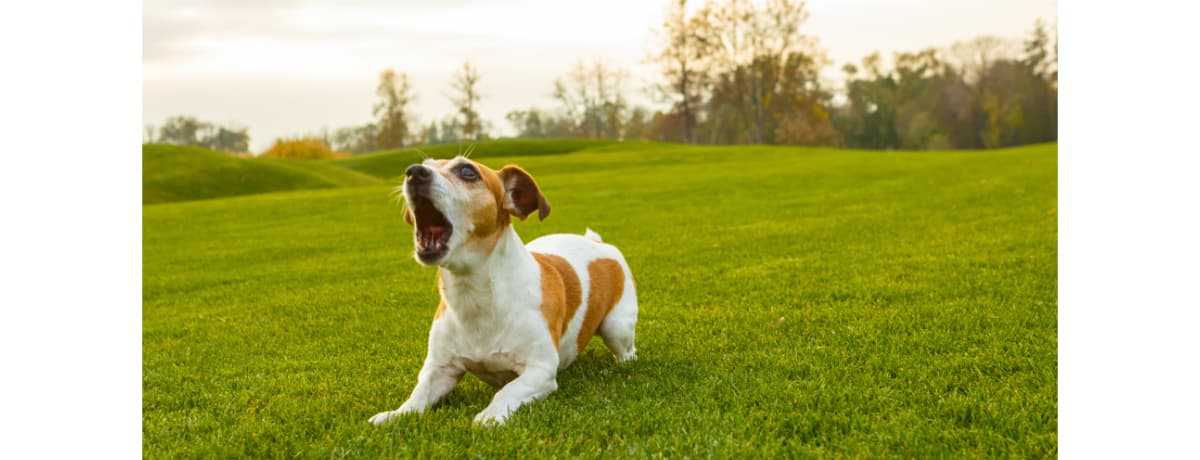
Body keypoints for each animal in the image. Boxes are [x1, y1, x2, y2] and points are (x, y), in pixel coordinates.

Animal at [367, 156, 638, 427]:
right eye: (425, 163)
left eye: (468, 171)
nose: (414, 172)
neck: (475, 295)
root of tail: (598, 242)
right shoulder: (439, 369)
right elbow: (418, 395)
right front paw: (396, 415)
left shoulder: (539, 370)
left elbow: (507, 391)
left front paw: (489, 416)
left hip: (617, 327)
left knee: (627, 353)